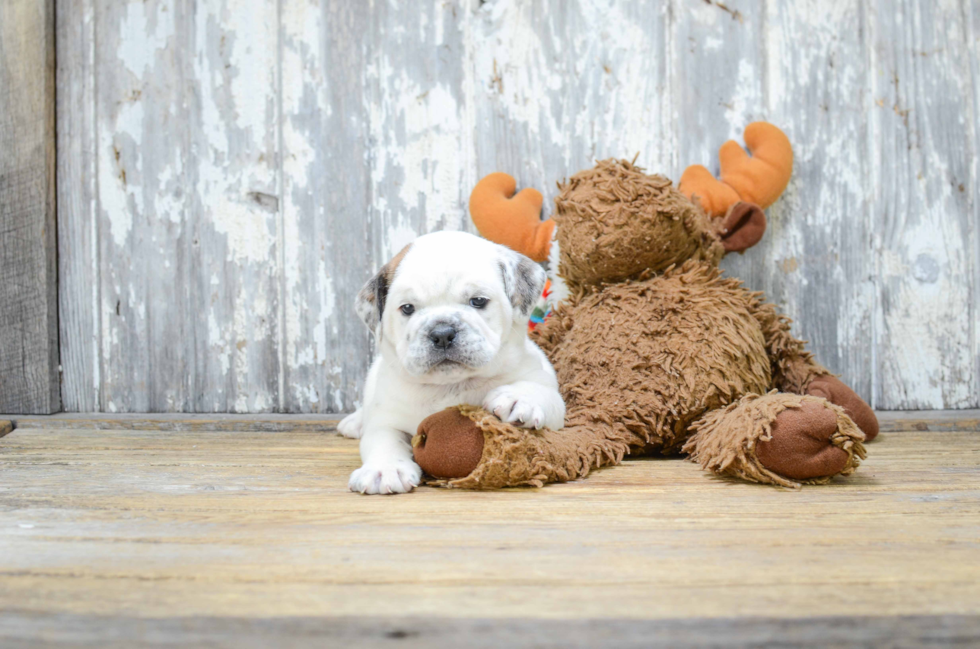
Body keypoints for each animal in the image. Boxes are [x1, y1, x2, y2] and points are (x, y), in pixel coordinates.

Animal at [338, 230, 564, 494]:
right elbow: (383, 441)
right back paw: (355, 422)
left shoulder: (549, 396)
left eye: (478, 301)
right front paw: (385, 469)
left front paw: (519, 397)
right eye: (407, 308)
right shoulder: (386, 419)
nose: (442, 333)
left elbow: (542, 392)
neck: (452, 385)